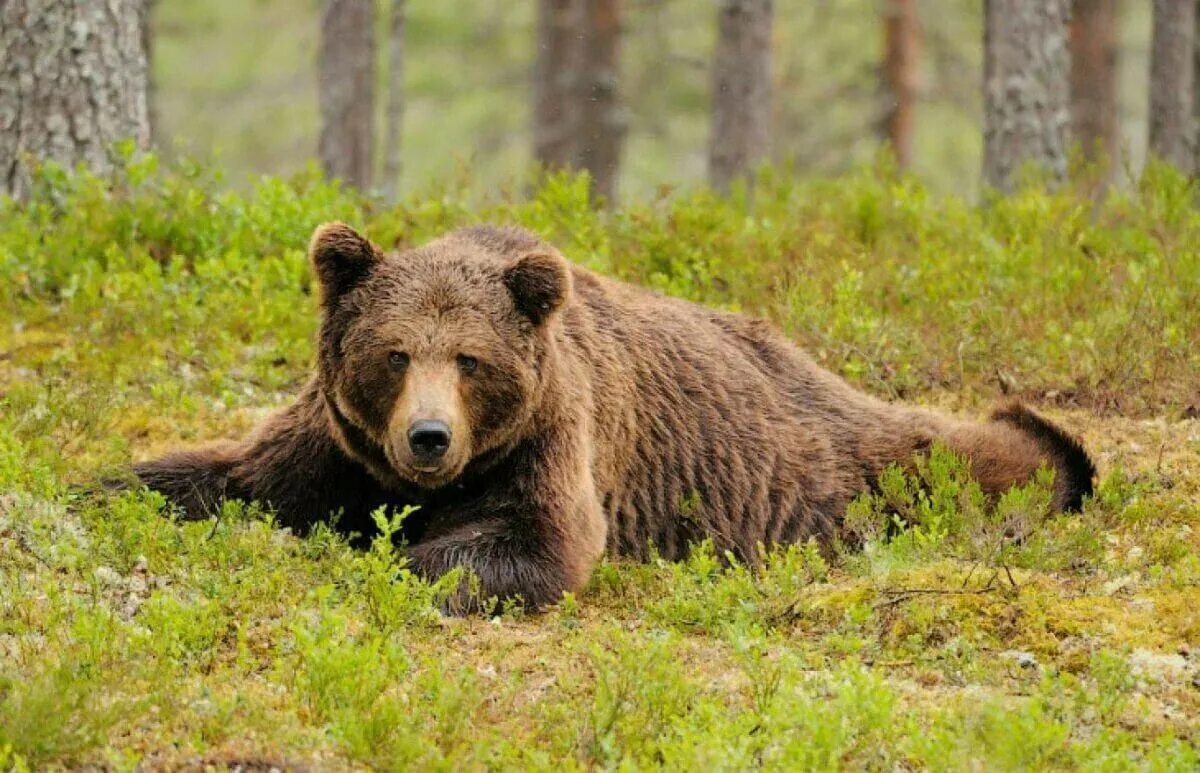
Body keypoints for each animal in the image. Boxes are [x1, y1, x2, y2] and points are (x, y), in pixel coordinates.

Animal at [133, 222, 1099, 609]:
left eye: (471, 359)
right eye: (395, 353)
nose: (429, 438)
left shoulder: (553, 440)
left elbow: (535, 541)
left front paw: (390, 558)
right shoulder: (335, 444)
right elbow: (221, 474)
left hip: (820, 459)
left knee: (944, 456)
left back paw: (1056, 454)